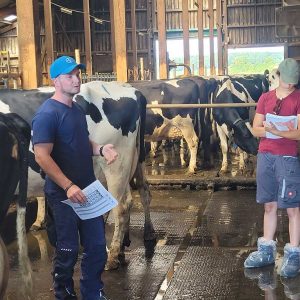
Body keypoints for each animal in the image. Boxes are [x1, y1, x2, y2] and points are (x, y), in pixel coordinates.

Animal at [0, 81, 155, 270]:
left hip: (116, 165)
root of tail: (130, 89)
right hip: (130, 162)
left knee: (122, 206)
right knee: (141, 191)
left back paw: (112, 257)